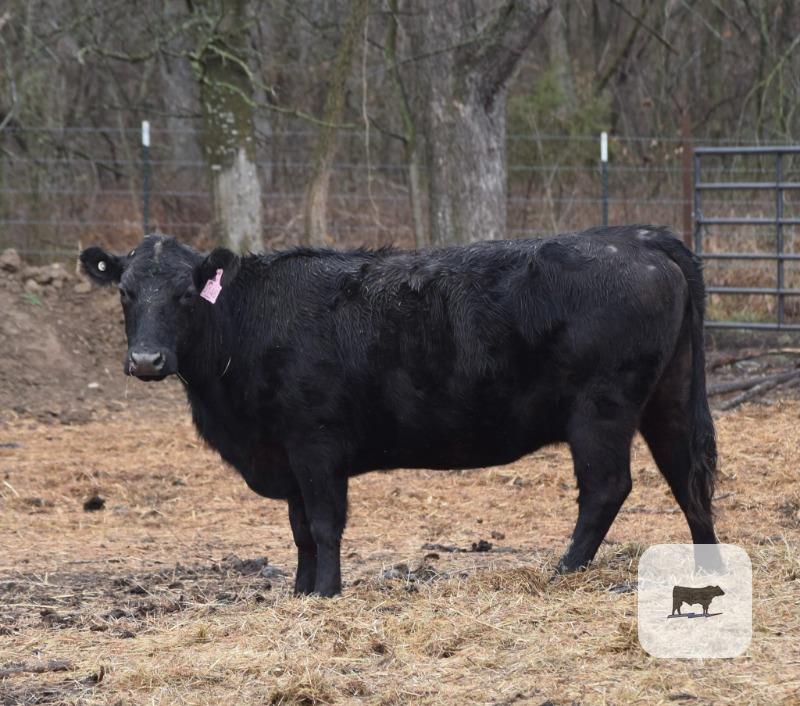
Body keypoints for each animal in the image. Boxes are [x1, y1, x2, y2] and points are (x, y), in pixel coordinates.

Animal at [80, 225, 719, 597]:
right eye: (125, 293)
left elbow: (323, 524)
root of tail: (636, 238)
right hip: (667, 395)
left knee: (607, 488)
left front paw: (327, 593)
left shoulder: (316, 443)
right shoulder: (286, 453)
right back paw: (708, 567)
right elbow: (299, 530)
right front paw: (300, 592)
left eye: (187, 293)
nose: (146, 359)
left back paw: (562, 571)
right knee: (689, 477)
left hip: (600, 409)